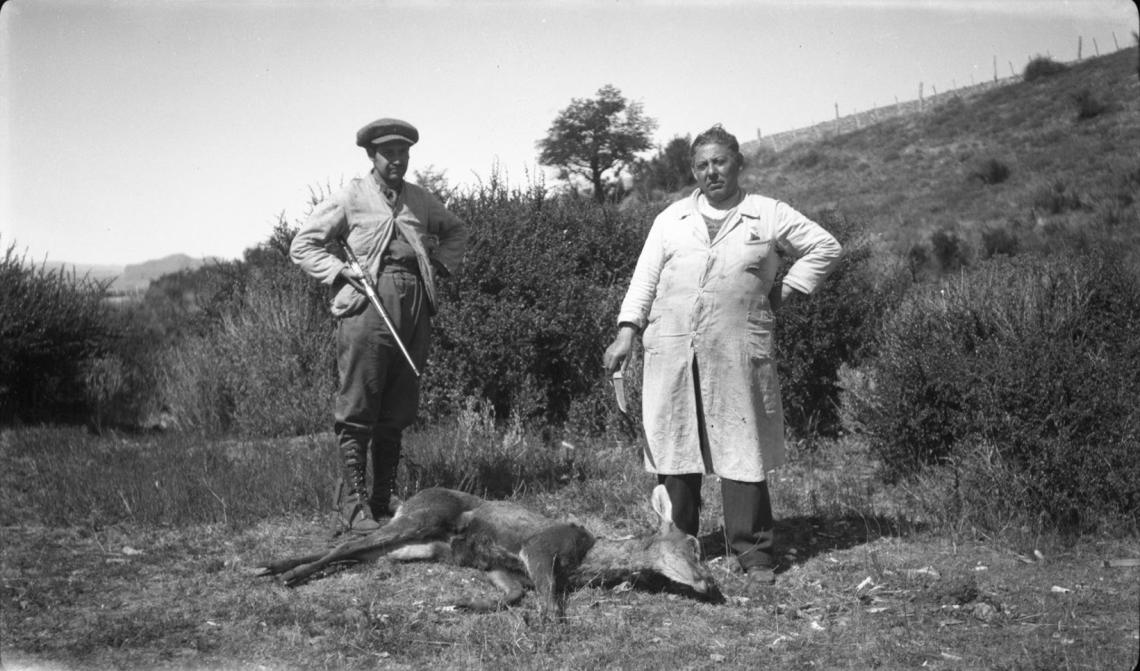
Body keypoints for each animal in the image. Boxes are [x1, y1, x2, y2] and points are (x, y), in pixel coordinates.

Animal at [262, 480, 715, 619]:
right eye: (692, 546)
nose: (709, 583)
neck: (587, 558)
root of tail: (408, 500)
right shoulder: (539, 546)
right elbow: (549, 601)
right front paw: (548, 623)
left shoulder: (502, 570)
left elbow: (513, 594)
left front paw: (463, 604)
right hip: (420, 519)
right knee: (350, 543)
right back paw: (285, 575)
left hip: (418, 547)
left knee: (352, 551)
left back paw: (274, 565)